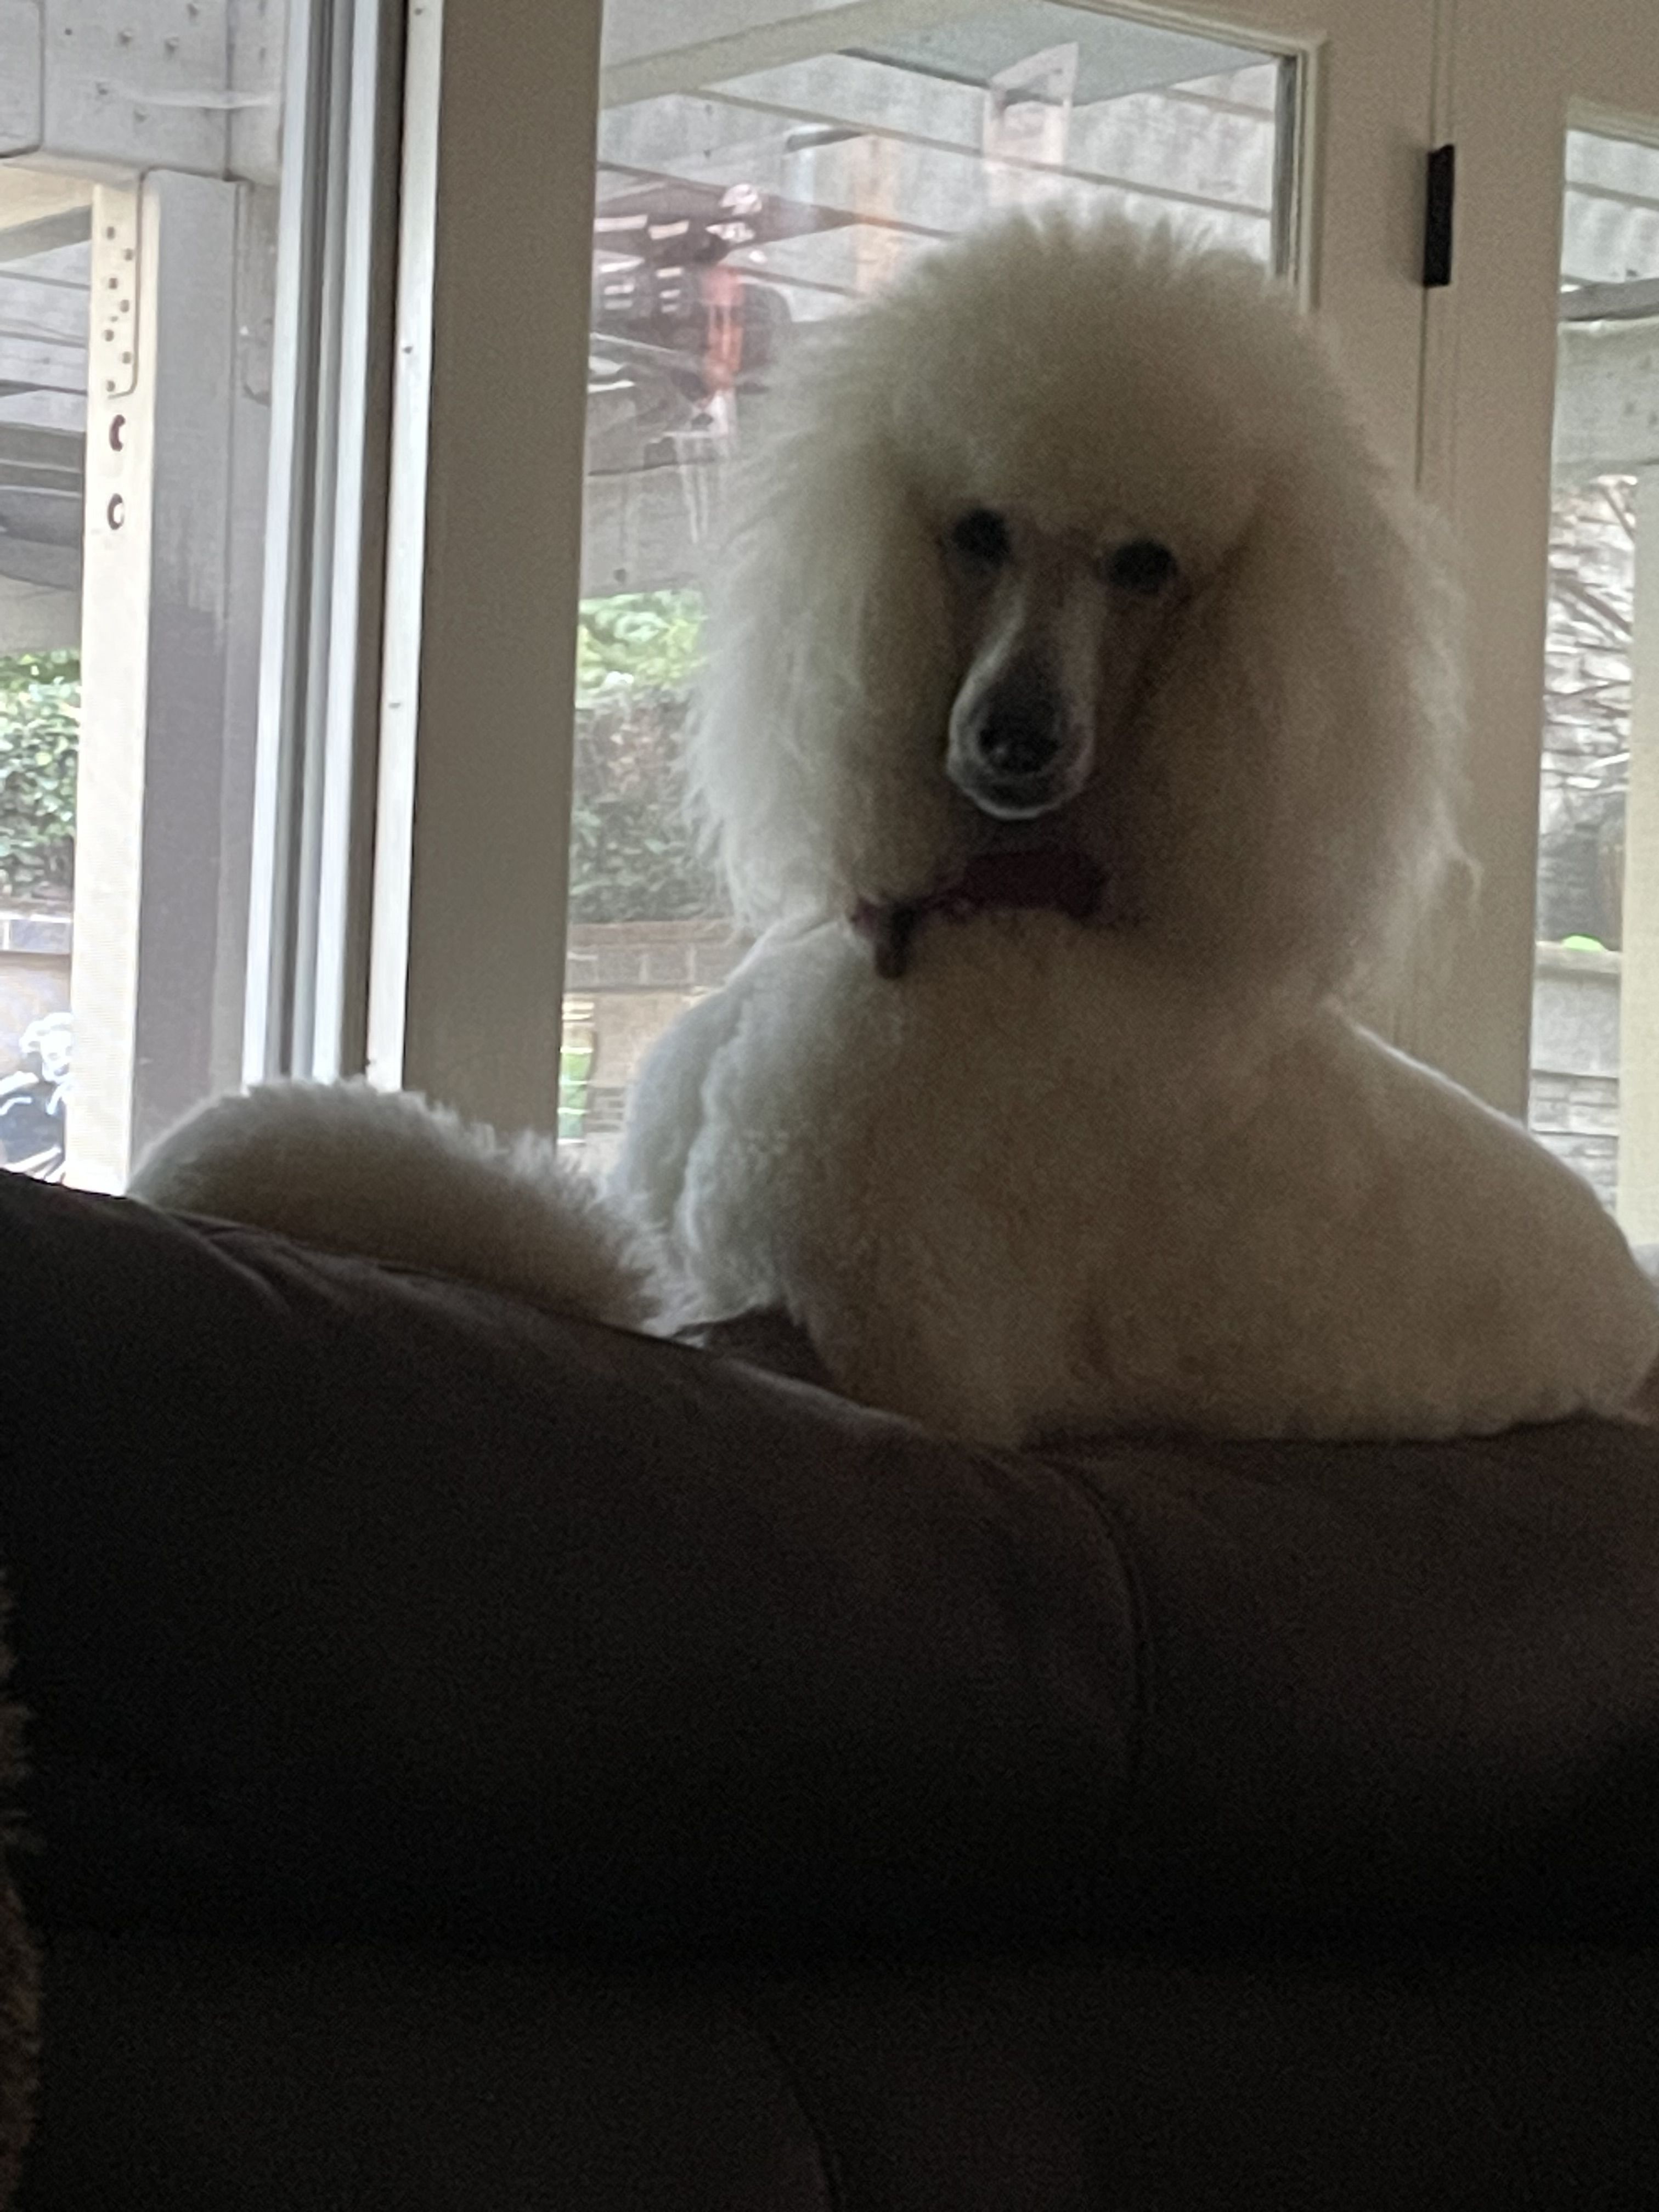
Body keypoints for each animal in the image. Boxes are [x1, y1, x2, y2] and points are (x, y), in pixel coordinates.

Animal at [133, 209, 1659, 1447]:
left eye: (1148, 563)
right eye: (979, 528)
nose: (1016, 742)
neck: (971, 906)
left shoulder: (881, 1355)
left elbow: (580, 1281)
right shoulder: (680, 1230)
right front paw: (247, 1157)